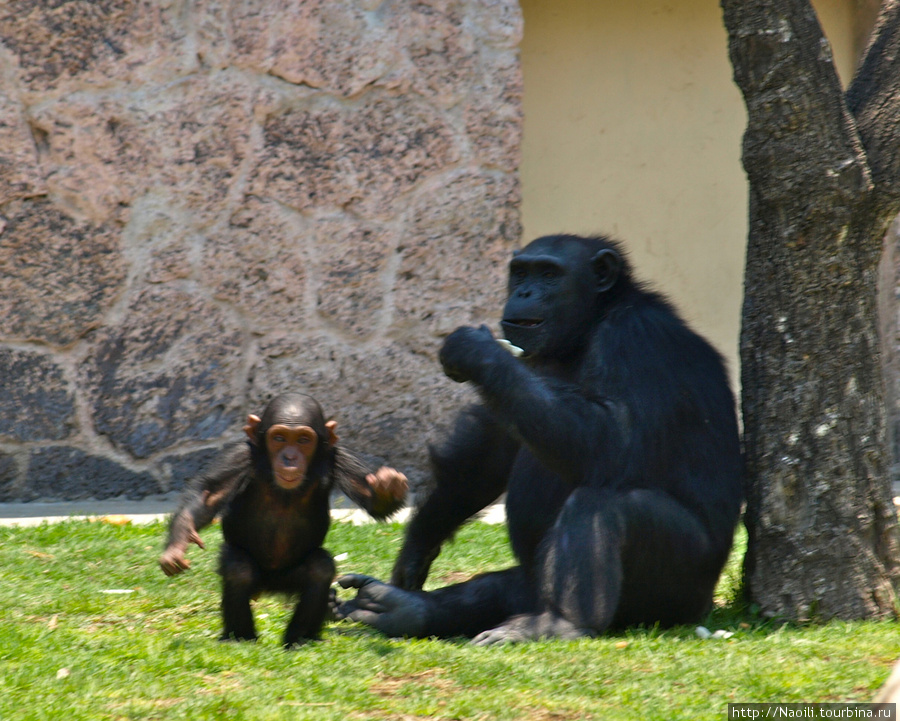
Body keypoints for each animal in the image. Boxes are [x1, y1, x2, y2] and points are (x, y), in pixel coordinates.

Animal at [160, 394, 406, 648]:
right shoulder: (238, 455)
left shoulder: (340, 458)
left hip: (290, 578)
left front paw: (388, 487)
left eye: (303, 440)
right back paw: (241, 638)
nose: (289, 457)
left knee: (319, 569)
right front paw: (178, 544)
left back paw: (301, 639)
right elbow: (208, 496)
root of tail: (271, 586)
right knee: (239, 570)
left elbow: (374, 502)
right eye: (279, 438)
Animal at [338, 233, 744, 644]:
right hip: (531, 587)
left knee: (606, 505)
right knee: (497, 590)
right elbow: (491, 452)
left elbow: (615, 439)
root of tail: (703, 605)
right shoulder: (525, 367)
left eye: (549, 274)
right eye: (521, 273)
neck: (589, 326)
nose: (525, 291)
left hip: (680, 588)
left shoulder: (635, 339)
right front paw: (417, 548)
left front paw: (477, 350)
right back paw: (400, 608)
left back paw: (560, 622)